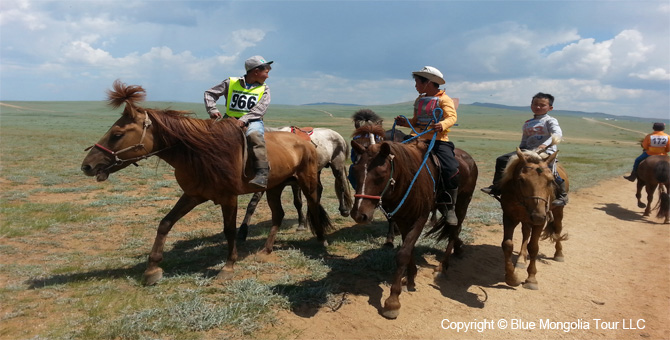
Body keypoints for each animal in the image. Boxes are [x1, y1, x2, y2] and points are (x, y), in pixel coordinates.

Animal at [81, 79, 334, 284]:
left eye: (117, 134)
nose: (87, 166)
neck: (200, 153)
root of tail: (305, 142)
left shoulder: (229, 198)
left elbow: (229, 230)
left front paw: (228, 267)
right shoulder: (193, 195)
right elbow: (165, 223)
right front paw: (152, 269)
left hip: (307, 181)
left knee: (313, 206)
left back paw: (322, 240)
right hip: (274, 187)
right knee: (278, 215)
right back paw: (266, 250)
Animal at [352, 137, 478, 320]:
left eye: (381, 174)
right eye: (355, 171)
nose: (359, 215)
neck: (409, 179)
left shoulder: (420, 218)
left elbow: (403, 253)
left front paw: (392, 301)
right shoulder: (402, 219)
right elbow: (409, 248)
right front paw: (410, 278)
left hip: (462, 203)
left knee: (455, 230)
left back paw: (442, 266)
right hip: (443, 206)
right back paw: (459, 248)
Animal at [498, 148, 572, 290]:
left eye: (550, 180)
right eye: (521, 180)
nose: (537, 216)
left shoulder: (540, 222)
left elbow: (533, 247)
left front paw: (531, 279)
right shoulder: (509, 216)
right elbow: (507, 244)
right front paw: (511, 277)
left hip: (557, 211)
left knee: (557, 230)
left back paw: (559, 254)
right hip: (526, 219)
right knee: (526, 232)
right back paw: (521, 259)